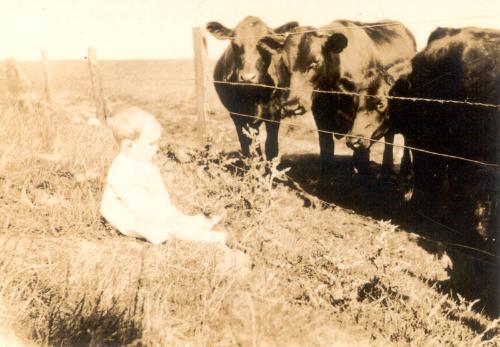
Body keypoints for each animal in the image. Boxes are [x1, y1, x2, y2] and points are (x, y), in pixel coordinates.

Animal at [206, 14, 296, 159]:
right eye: (234, 43)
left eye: (264, 44)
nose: (248, 77)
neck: (254, 94)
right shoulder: (237, 114)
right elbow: (248, 146)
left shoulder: (274, 114)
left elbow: (271, 148)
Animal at [260, 19, 416, 182]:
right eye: (284, 63)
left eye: (315, 62)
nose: (292, 105)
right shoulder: (321, 115)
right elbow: (327, 148)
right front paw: (325, 181)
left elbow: (362, 154)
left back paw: (399, 171)